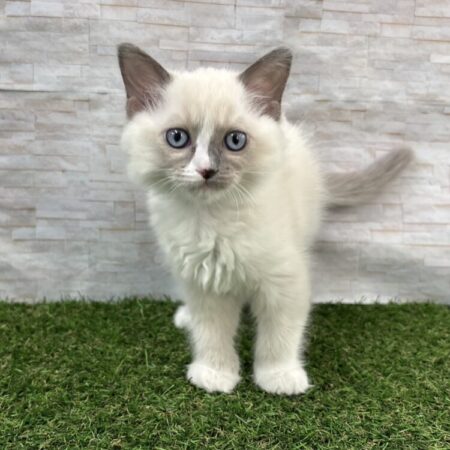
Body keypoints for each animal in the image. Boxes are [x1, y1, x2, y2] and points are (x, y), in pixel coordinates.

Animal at [118, 44, 412, 395]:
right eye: (177, 138)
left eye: (235, 140)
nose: (206, 170)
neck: (215, 220)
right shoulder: (205, 281)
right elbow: (211, 332)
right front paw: (216, 373)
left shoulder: (284, 279)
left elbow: (279, 334)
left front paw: (278, 377)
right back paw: (186, 316)